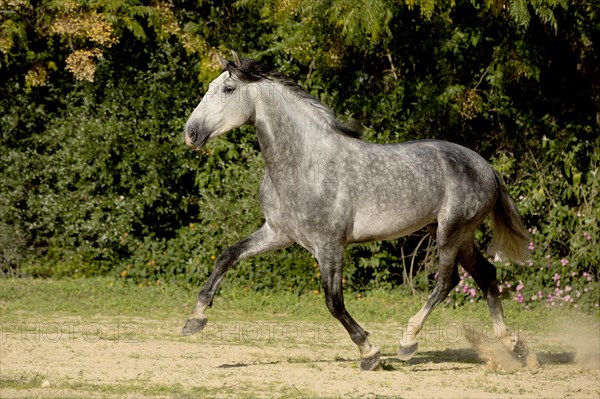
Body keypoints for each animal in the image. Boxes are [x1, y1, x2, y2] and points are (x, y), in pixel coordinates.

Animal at [182, 51, 528, 370]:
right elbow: (228, 255)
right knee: (486, 275)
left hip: (450, 233)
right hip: (459, 235)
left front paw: (370, 353)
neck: (304, 164)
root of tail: (486, 167)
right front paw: (194, 319)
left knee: (447, 282)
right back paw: (514, 345)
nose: (191, 133)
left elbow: (334, 302)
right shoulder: (277, 233)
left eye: (228, 89)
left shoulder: (329, 246)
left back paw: (408, 341)